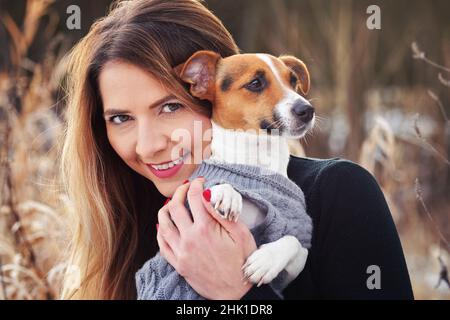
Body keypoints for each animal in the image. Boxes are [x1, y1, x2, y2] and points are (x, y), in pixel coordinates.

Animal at [174, 50, 314, 288]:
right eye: (255, 83)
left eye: (293, 80)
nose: (307, 110)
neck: (257, 159)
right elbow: (215, 184)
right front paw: (226, 194)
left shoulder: (292, 271)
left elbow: (294, 242)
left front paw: (266, 261)